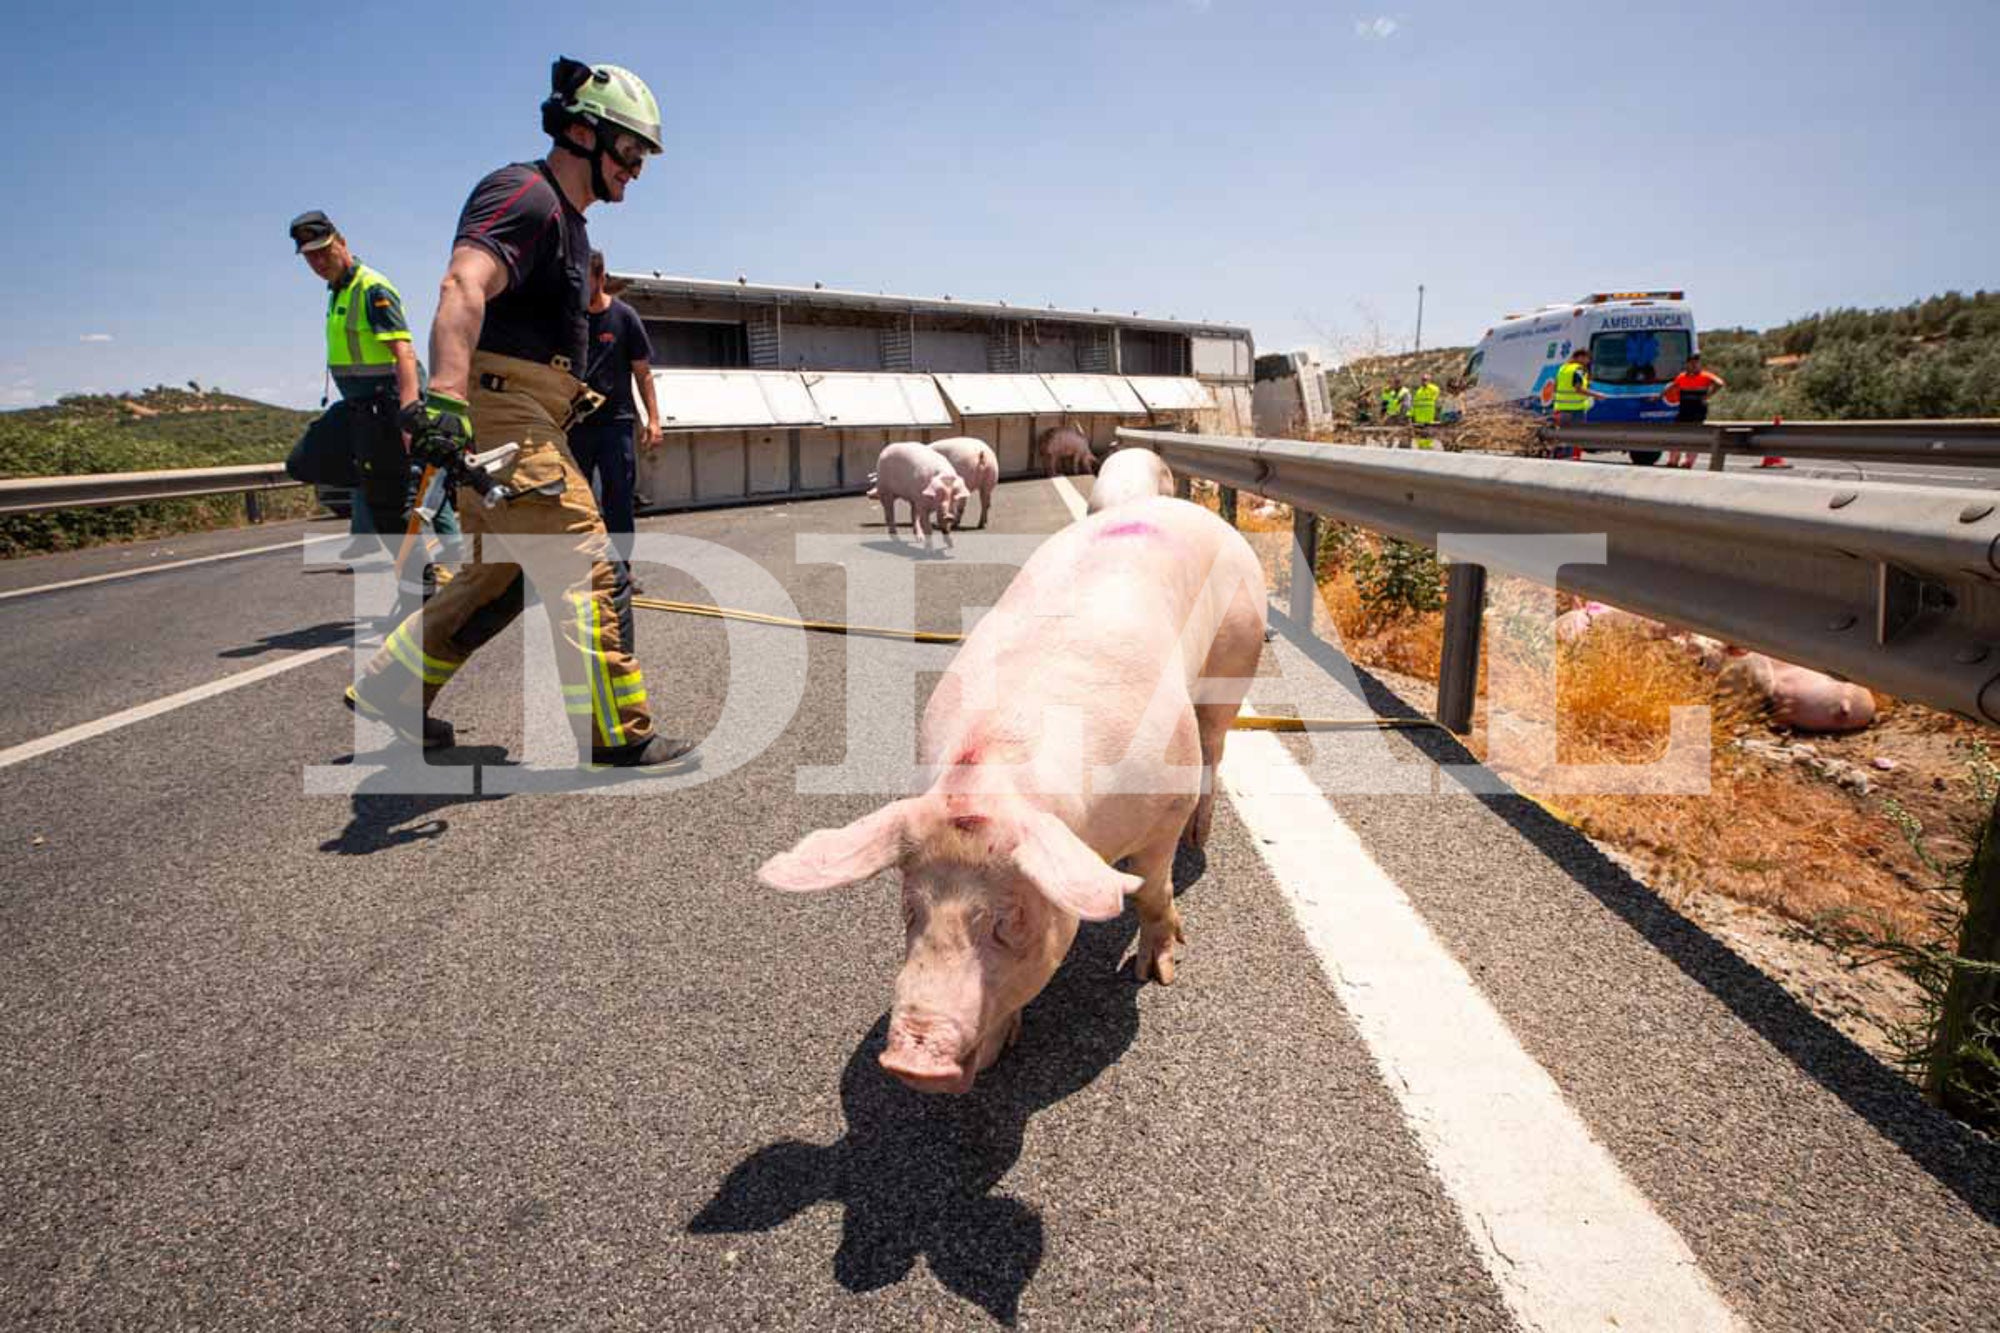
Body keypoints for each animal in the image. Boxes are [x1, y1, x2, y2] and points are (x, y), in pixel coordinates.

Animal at [756, 492, 1256, 1088]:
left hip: (1235, 656)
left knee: (1215, 746)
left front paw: (1157, 974)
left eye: (1009, 921)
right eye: (910, 910)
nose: (911, 1061)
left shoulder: (1164, 804)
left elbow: (1152, 889)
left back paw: (1199, 839)